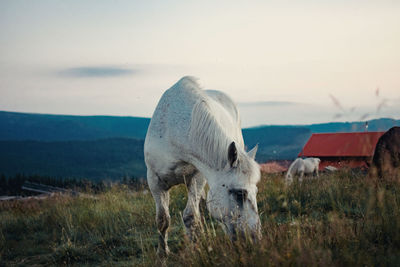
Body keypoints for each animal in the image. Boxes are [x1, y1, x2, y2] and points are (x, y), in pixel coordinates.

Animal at [145, 76, 262, 258]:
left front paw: (193, 250)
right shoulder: (154, 181)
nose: (255, 238)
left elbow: (190, 217)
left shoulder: (197, 178)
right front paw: (162, 254)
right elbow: (162, 219)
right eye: (239, 193)